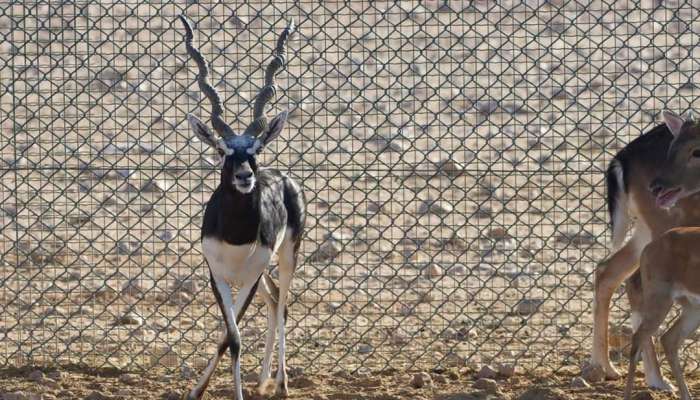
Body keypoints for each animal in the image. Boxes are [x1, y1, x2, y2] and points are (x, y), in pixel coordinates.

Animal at [178, 15, 304, 400]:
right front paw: (196, 391)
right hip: (260, 275)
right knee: (274, 299)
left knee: (283, 301)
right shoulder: (216, 275)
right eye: (222, 151)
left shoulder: (248, 277)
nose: (246, 175)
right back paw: (264, 380)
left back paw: (280, 383)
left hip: (287, 256)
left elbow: (231, 338)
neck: (234, 237)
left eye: (255, 149)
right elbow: (230, 337)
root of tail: (282, 176)